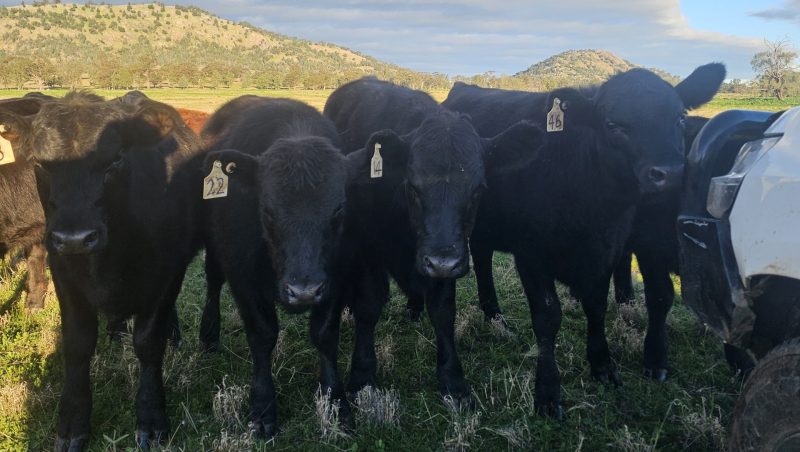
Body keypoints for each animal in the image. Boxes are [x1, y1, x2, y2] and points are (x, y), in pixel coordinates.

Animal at [0, 91, 206, 451]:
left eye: (116, 160)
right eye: (39, 163)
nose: (75, 238)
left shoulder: (167, 273)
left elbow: (149, 344)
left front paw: (151, 417)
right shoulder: (65, 274)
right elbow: (78, 345)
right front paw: (72, 424)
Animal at [324, 77, 544, 405]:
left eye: (478, 189)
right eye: (413, 186)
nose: (440, 262)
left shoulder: (448, 254)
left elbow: (443, 311)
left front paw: (452, 379)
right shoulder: (368, 248)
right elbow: (368, 305)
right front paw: (363, 377)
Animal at [441, 64, 725, 417]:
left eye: (681, 117)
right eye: (613, 125)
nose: (670, 173)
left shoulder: (606, 252)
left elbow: (597, 306)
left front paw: (602, 363)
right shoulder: (531, 255)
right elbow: (547, 318)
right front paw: (548, 392)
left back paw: (496, 319)